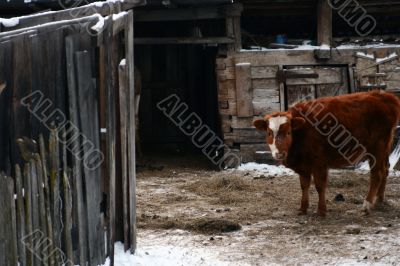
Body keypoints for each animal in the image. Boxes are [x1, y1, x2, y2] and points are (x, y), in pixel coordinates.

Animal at [253, 91, 400, 216]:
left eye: (289, 132)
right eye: (269, 133)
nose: (280, 154)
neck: (303, 131)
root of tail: (383, 95)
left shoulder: (319, 163)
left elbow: (319, 186)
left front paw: (321, 210)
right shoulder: (303, 166)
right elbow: (304, 186)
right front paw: (303, 208)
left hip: (377, 147)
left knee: (377, 173)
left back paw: (367, 205)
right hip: (385, 147)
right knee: (385, 169)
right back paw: (379, 200)